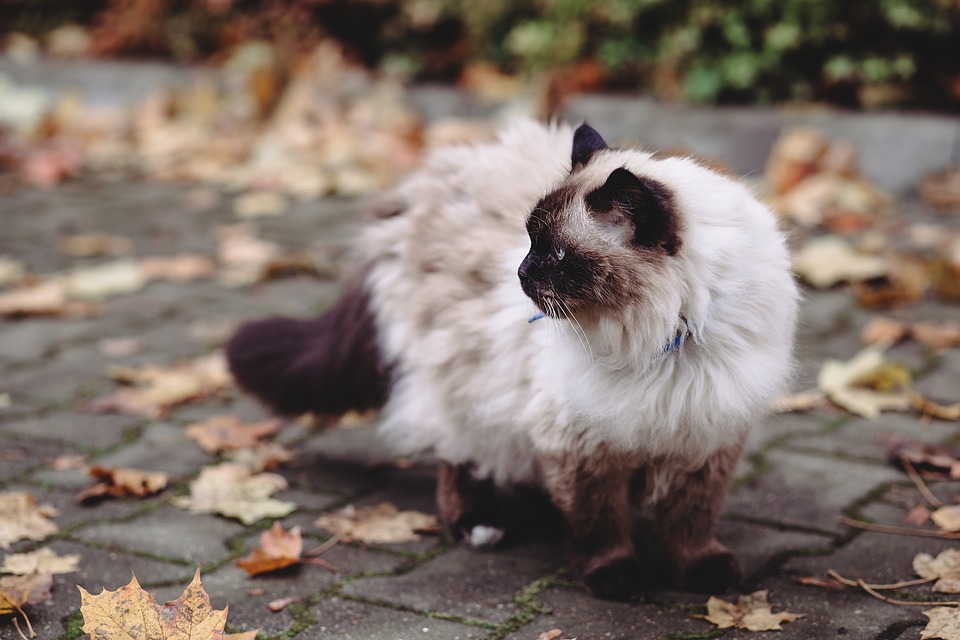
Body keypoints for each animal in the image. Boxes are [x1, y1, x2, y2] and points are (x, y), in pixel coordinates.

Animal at [225, 119, 796, 600]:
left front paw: (705, 573)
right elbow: (600, 521)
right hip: (462, 378)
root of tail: (425, 183)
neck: (668, 336)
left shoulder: (707, 436)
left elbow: (692, 523)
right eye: (529, 242)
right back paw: (482, 526)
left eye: (557, 255)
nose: (520, 273)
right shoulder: (581, 443)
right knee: (459, 460)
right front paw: (617, 576)